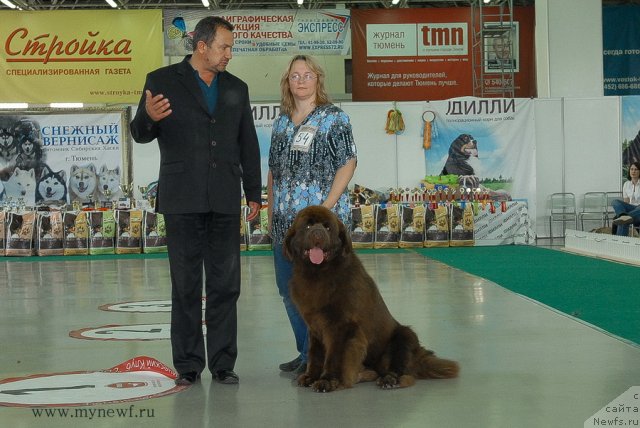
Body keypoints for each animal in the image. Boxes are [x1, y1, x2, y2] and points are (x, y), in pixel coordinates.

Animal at [282, 206, 458, 392]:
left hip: (403, 337)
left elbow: (334, 356)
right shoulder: (314, 327)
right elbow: (315, 354)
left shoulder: (341, 326)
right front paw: (311, 377)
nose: (317, 234)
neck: (318, 273)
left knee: (403, 372)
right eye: (307, 226)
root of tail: (419, 355)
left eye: (327, 227)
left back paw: (389, 380)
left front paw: (327, 380)